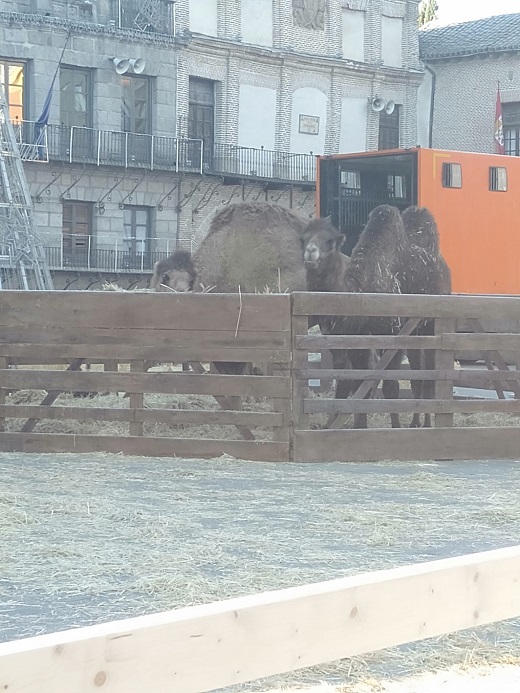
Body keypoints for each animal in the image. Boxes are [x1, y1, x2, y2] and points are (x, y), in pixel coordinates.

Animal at [300, 203, 410, 428]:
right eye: (303, 239)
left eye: (330, 241)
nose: (310, 252)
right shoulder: (340, 340)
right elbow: (348, 380)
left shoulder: (392, 336)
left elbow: (389, 385)